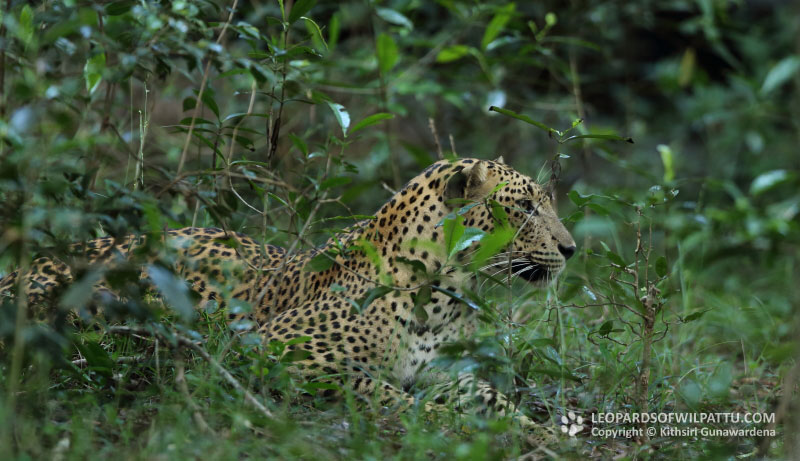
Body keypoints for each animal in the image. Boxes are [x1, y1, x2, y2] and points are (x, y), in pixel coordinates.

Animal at [0, 157, 576, 434]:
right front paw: (443, 422)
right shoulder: (281, 349)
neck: (447, 292)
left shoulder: (451, 375)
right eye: (525, 208)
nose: (571, 249)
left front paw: (544, 433)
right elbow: (389, 395)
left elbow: (499, 402)